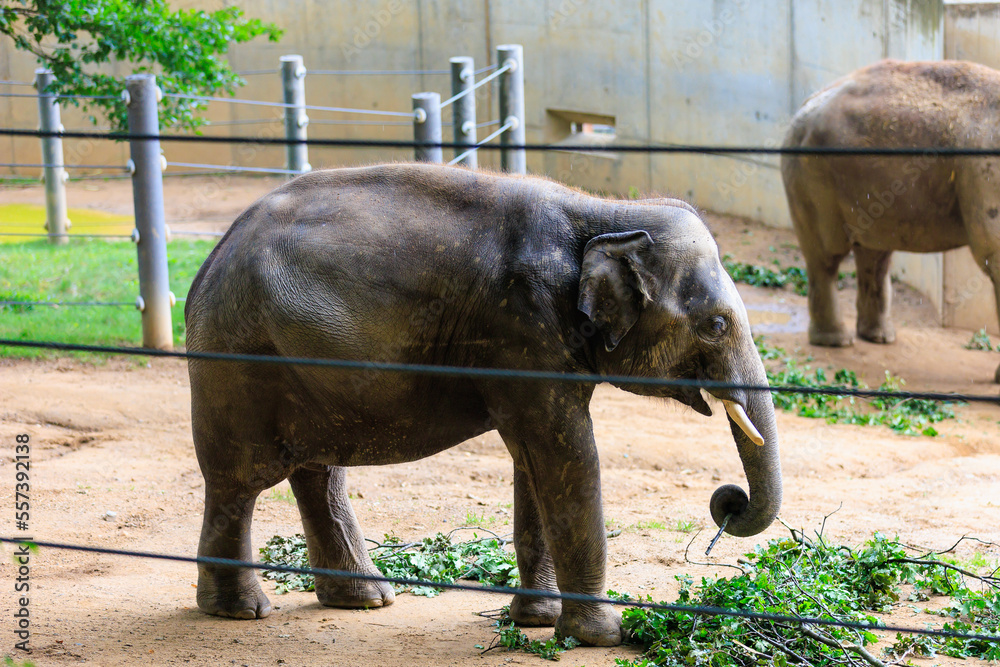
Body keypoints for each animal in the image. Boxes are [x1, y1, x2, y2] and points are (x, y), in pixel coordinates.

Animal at [184, 163, 782, 647]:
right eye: (717, 325)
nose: (728, 501)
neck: (603, 212)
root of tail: (211, 258)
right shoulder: (523, 327)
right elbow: (568, 457)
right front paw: (603, 636)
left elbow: (536, 463)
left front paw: (537, 622)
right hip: (239, 360)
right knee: (240, 480)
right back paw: (241, 612)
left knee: (315, 473)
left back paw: (365, 599)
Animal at [782, 59, 1000, 381]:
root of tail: (806, 104)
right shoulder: (986, 175)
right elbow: (992, 251)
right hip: (811, 177)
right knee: (827, 256)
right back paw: (836, 341)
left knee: (874, 254)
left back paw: (879, 337)